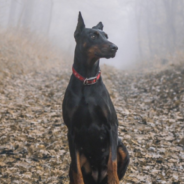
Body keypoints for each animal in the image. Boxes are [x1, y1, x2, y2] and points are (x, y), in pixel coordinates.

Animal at [62, 11, 129, 184]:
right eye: (93, 36)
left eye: (106, 36)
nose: (115, 47)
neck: (87, 80)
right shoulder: (71, 132)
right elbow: (77, 170)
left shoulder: (112, 126)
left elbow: (112, 163)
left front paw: (113, 179)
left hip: (122, 148)